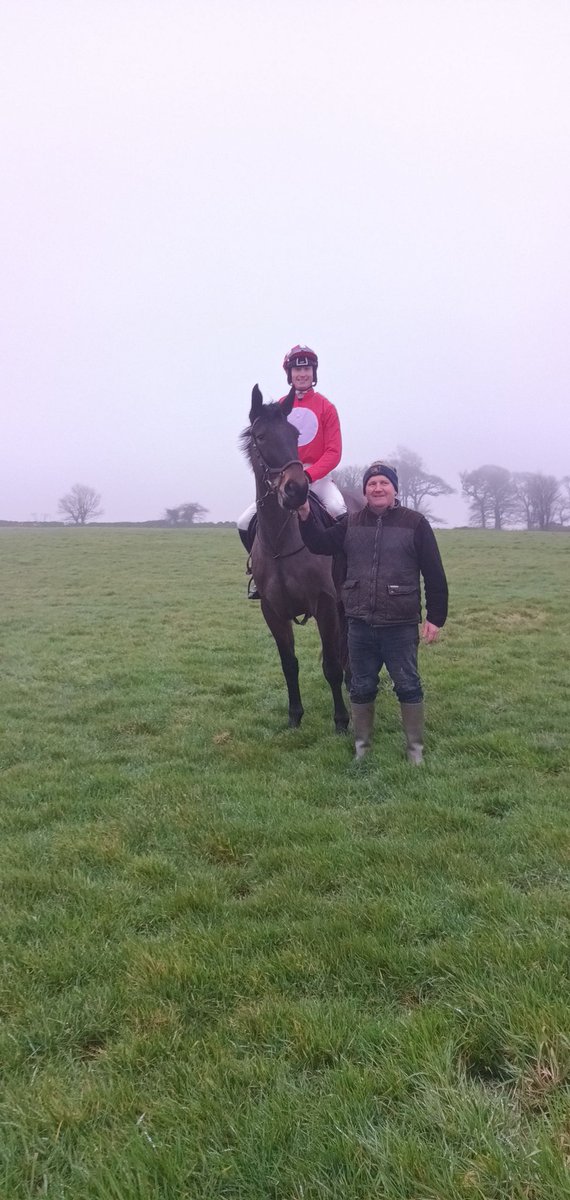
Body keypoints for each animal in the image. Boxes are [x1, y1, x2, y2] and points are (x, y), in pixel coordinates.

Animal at [240, 388, 350, 734]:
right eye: (261, 436)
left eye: (294, 435)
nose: (297, 489)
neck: (281, 540)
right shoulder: (272, 610)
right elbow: (289, 664)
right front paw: (294, 716)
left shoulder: (325, 604)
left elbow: (331, 665)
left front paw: (341, 721)